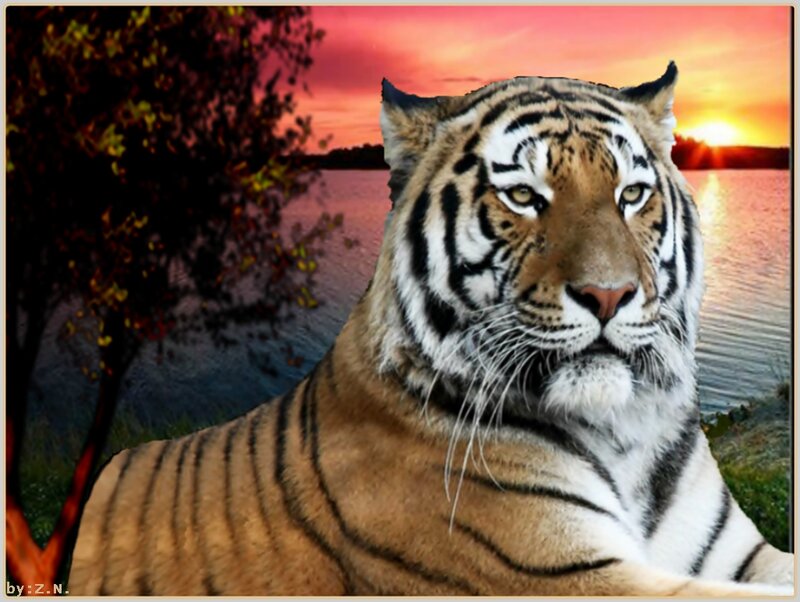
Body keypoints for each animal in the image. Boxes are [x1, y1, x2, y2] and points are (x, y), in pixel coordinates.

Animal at [68, 63, 794, 596]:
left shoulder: (737, 552)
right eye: (524, 197)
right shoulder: (562, 572)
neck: (626, 435)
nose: (609, 294)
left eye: (631, 196)